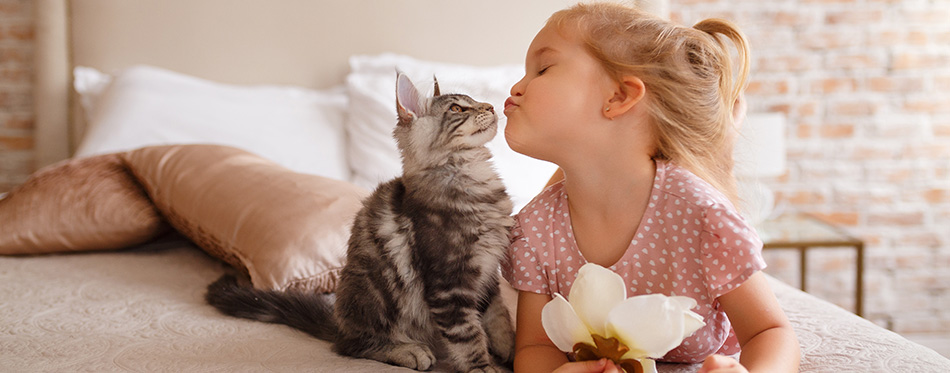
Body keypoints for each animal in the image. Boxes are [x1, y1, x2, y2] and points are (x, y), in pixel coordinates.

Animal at [207, 72, 516, 372]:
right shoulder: (449, 282)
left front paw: (511, 353)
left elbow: (499, 320)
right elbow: (467, 336)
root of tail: (338, 322)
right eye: (456, 109)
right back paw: (407, 350)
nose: (490, 106)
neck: (473, 176)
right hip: (373, 290)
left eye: (474, 100)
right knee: (351, 345)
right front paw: (483, 367)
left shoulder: (487, 276)